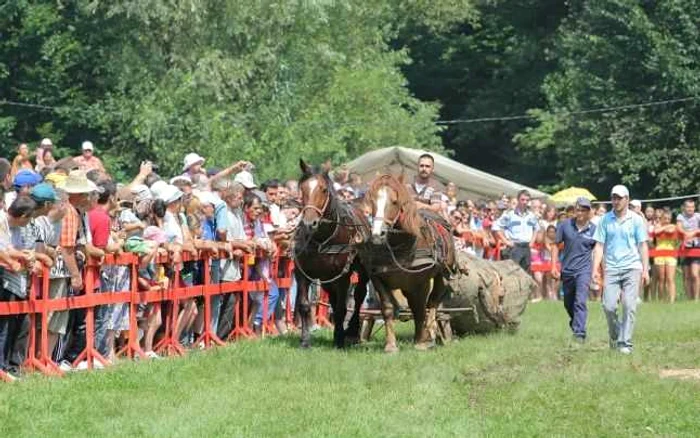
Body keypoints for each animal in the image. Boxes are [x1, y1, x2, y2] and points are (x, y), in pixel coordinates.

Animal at [292, 159, 372, 348]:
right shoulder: (302, 273)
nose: (309, 223)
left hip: (362, 271)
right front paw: (305, 340)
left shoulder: (343, 276)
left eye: (323, 189)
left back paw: (351, 331)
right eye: (303, 189)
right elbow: (304, 305)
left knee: (358, 295)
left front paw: (340, 338)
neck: (322, 239)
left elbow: (343, 307)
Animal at [360, 174, 454, 352]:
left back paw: (430, 332)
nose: (377, 234)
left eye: (395, 201)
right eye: (372, 201)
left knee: (432, 302)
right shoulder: (378, 279)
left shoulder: (421, 281)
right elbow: (388, 308)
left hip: (443, 276)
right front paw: (391, 345)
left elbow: (420, 309)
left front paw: (422, 341)